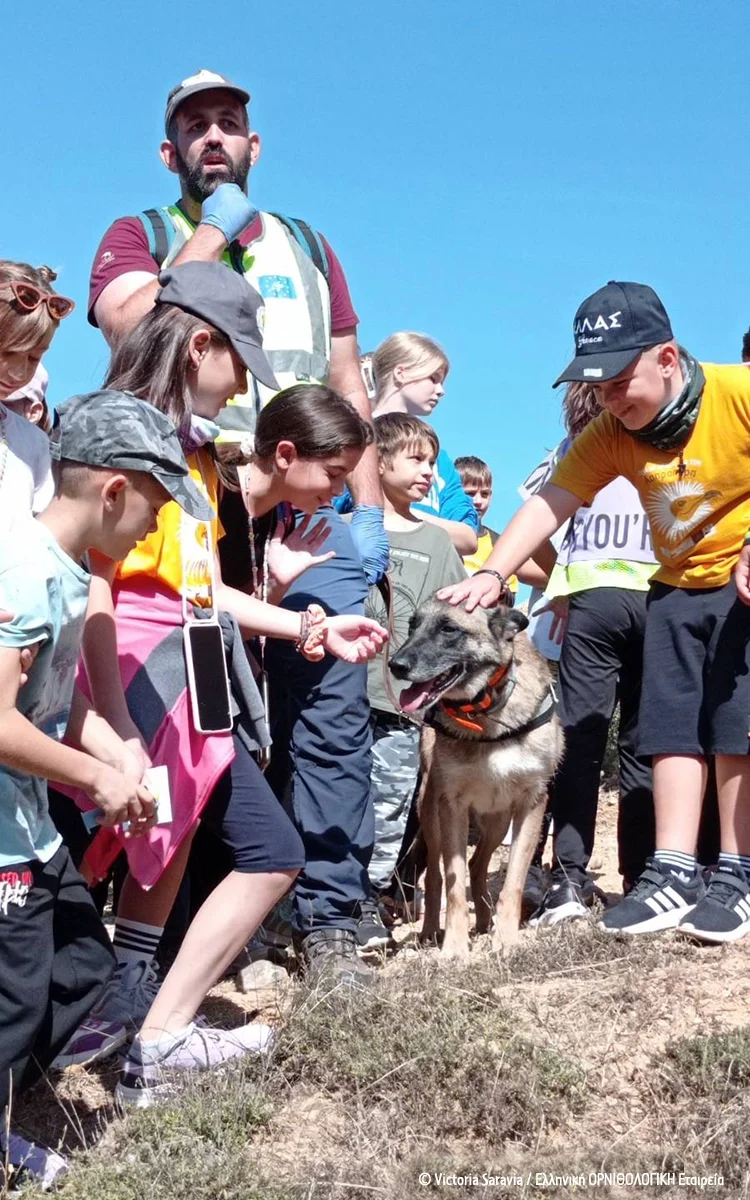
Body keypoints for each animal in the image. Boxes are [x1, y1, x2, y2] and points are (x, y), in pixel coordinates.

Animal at [389, 598, 563, 957]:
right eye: (412, 626)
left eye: (449, 629)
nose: (395, 665)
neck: (487, 715)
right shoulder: (451, 806)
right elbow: (454, 885)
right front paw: (455, 947)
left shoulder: (532, 805)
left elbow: (512, 882)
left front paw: (507, 940)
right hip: (432, 817)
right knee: (436, 877)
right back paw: (431, 933)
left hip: (497, 822)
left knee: (477, 865)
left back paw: (484, 922)